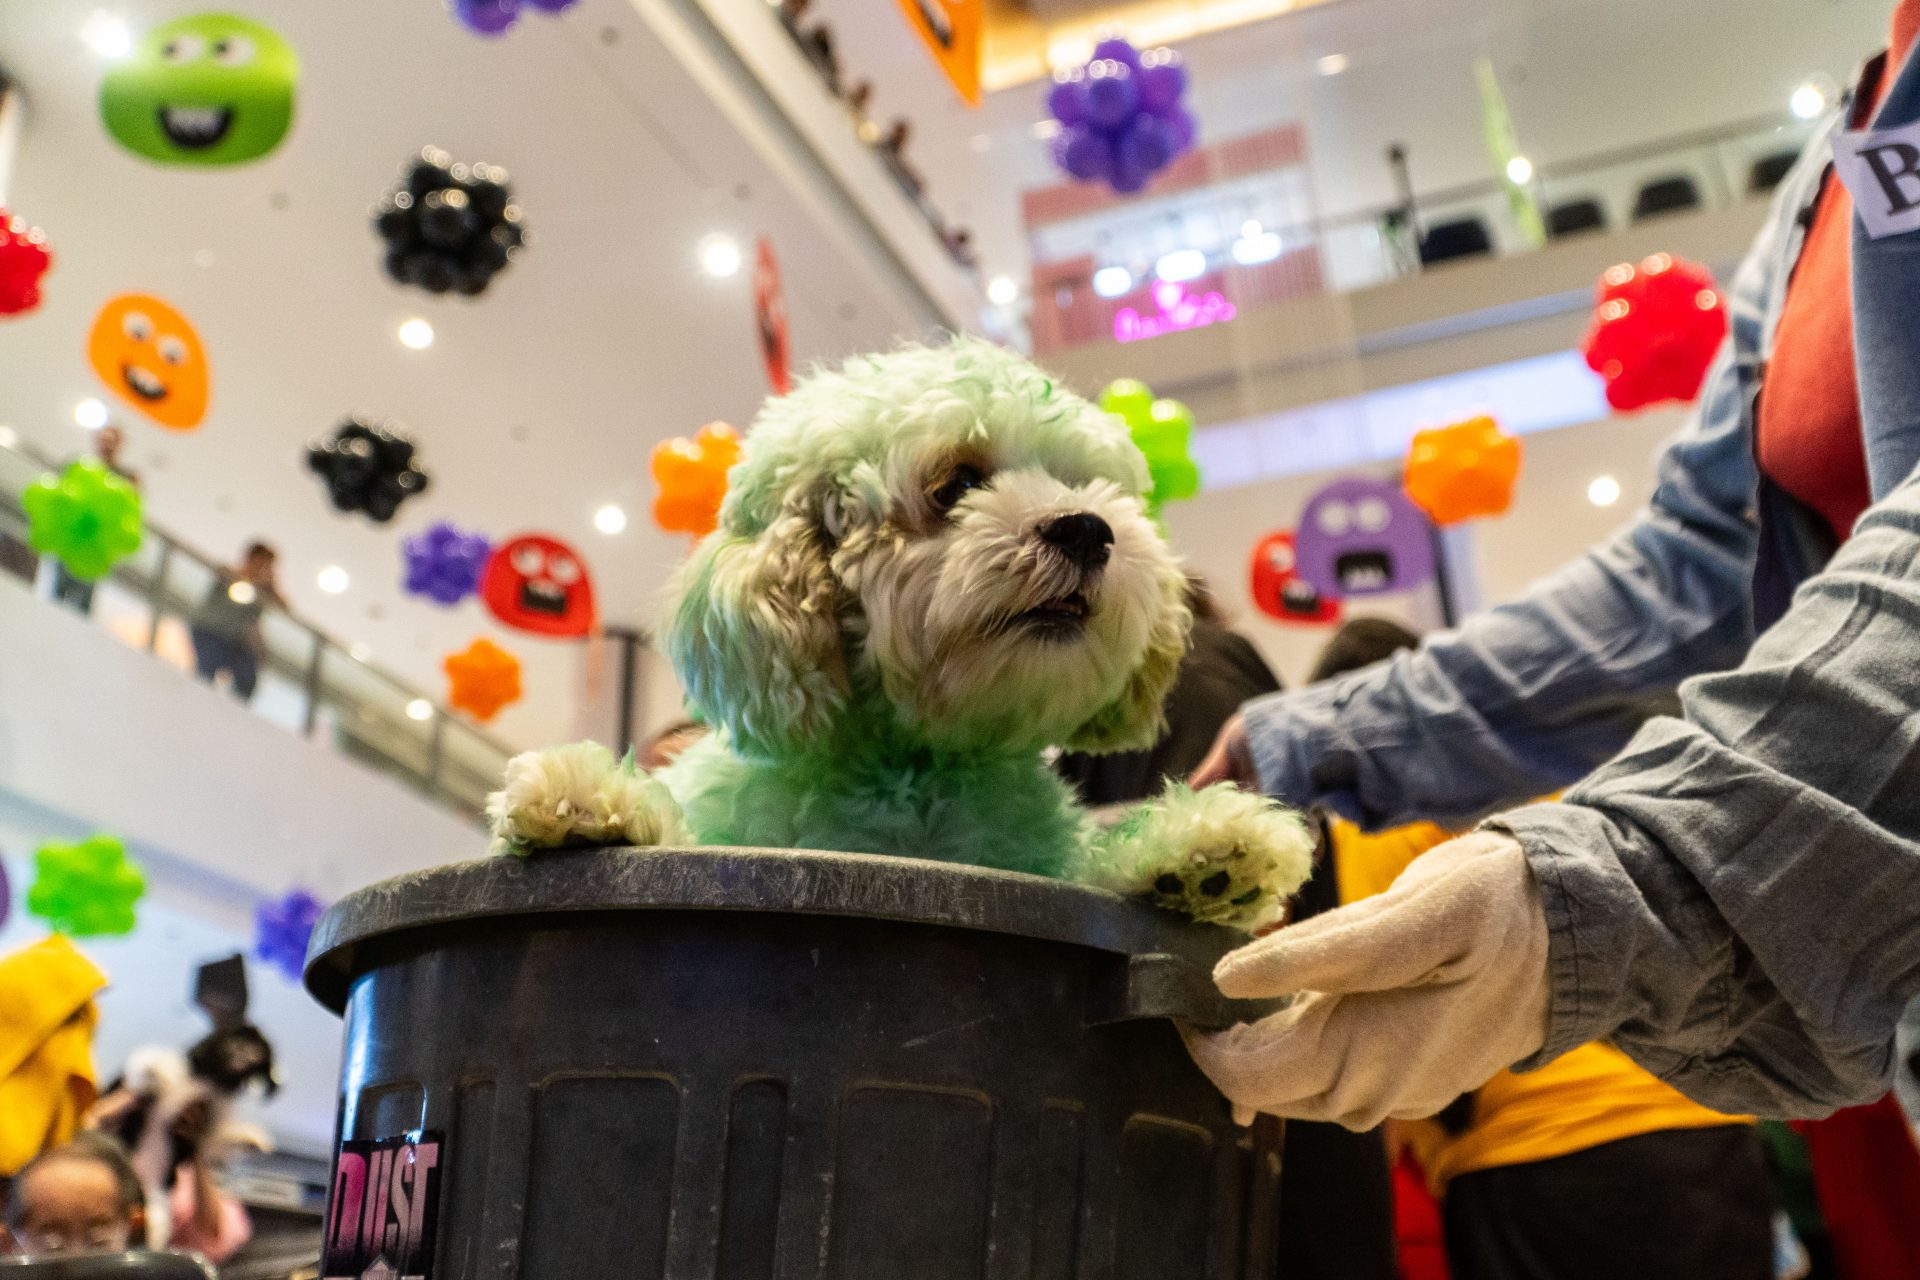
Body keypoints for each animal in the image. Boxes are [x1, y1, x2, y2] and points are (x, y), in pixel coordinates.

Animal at [90, 955, 276, 1243]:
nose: (244, 1054)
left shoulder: (209, 1118)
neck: (209, 1080)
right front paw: (160, 1070)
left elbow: (217, 1138)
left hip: (155, 1196)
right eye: (236, 1043)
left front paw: (254, 1138)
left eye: (256, 1055)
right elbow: (148, 1065)